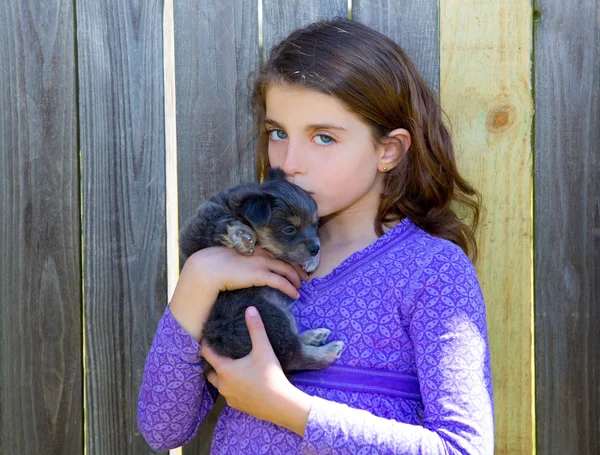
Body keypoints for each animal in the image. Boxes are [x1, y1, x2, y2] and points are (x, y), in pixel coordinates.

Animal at [178, 167, 344, 374]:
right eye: (289, 229)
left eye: (315, 224)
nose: (315, 249)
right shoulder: (195, 233)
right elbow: (222, 221)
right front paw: (242, 234)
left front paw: (314, 259)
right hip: (266, 313)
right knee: (292, 356)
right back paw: (328, 349)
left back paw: (315, 336)